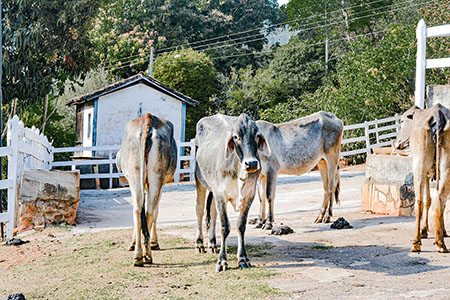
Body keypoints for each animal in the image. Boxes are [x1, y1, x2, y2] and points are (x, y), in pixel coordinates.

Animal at [117, 113, 177, 266]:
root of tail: (147, 120)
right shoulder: (162, 184)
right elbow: (156, 212)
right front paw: (154, 242)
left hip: (135, 175)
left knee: (138, 209)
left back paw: (139, 256)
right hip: (156, 177)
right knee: (149, 210)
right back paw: (147, 254)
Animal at [194, 113, 270, 272]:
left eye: (257, 136)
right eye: (236, 137)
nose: (251, 163)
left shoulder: (249, 194)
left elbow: (240, 225)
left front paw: (243, 259)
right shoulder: (221, 194)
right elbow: (225, 227)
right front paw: (222, 261)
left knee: (212, 213)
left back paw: (212, 244)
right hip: (199, 181)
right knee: (199, 210)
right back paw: (200, 244)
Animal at [394, 104, 450, 252]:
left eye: (402, 121)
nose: (396, 143)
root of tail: (437, 114)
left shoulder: (426, 174)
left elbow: (427, 200)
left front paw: (424, 230)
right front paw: (442, 231)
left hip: (419, 166)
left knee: (419, 201)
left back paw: (417, 241)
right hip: (446, 168)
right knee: (440, 200)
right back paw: (440, 242)